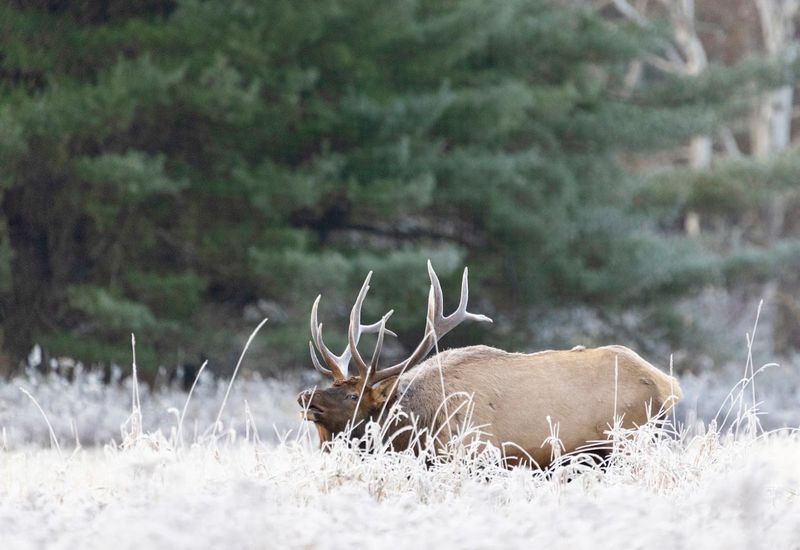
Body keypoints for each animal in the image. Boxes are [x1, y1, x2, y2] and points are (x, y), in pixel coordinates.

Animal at [297, 261, 683, 468]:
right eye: (333, 385)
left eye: (354, 396)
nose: (306, 397)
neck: (413, 431)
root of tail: (668, 385)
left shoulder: (478, 456)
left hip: (629, 442)